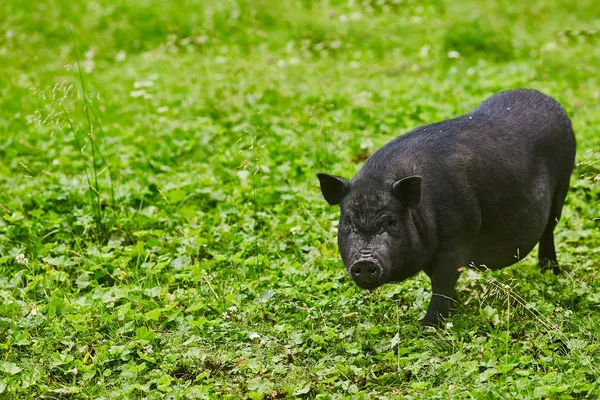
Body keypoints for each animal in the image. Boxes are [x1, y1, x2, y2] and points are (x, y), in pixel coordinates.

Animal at [318, 90, 576, 324]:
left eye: (391, 222)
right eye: (348, 222)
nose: (364, 262)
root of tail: (551, 101)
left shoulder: (455, 242)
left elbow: (441, 285)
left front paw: (428, 325)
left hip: (563, 184)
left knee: (549, 230)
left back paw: (550, 271)